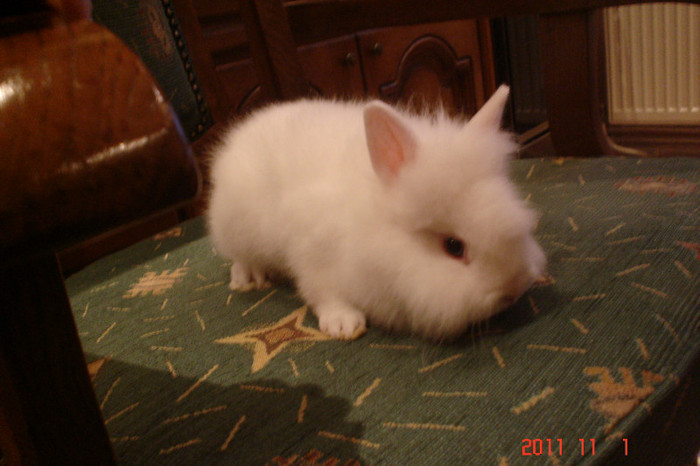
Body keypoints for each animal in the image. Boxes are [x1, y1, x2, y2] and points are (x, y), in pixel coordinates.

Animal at [208, 85, 548, 338]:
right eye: (453, 246)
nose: (514, 287)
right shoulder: (314, 255)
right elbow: (323, 292)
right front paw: (343, 324)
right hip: (235, 225)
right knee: (239, 255)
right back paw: (248, 278)